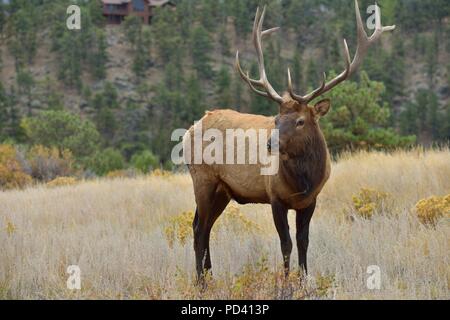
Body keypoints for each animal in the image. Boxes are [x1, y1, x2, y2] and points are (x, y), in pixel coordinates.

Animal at [185, 0, 394, 280]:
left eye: (300, 121)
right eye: (276, 119)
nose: (269, 144)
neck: (303, 181)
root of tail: (189, 129)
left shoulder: (310, 201)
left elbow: (303, 241)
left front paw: (304, 279)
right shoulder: (276, 197)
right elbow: (286, 243)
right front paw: (285, 282)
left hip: (223, 190)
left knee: (204, 227)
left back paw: (210, 277)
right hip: (203, 179)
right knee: (198, 229)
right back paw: (201, 282)